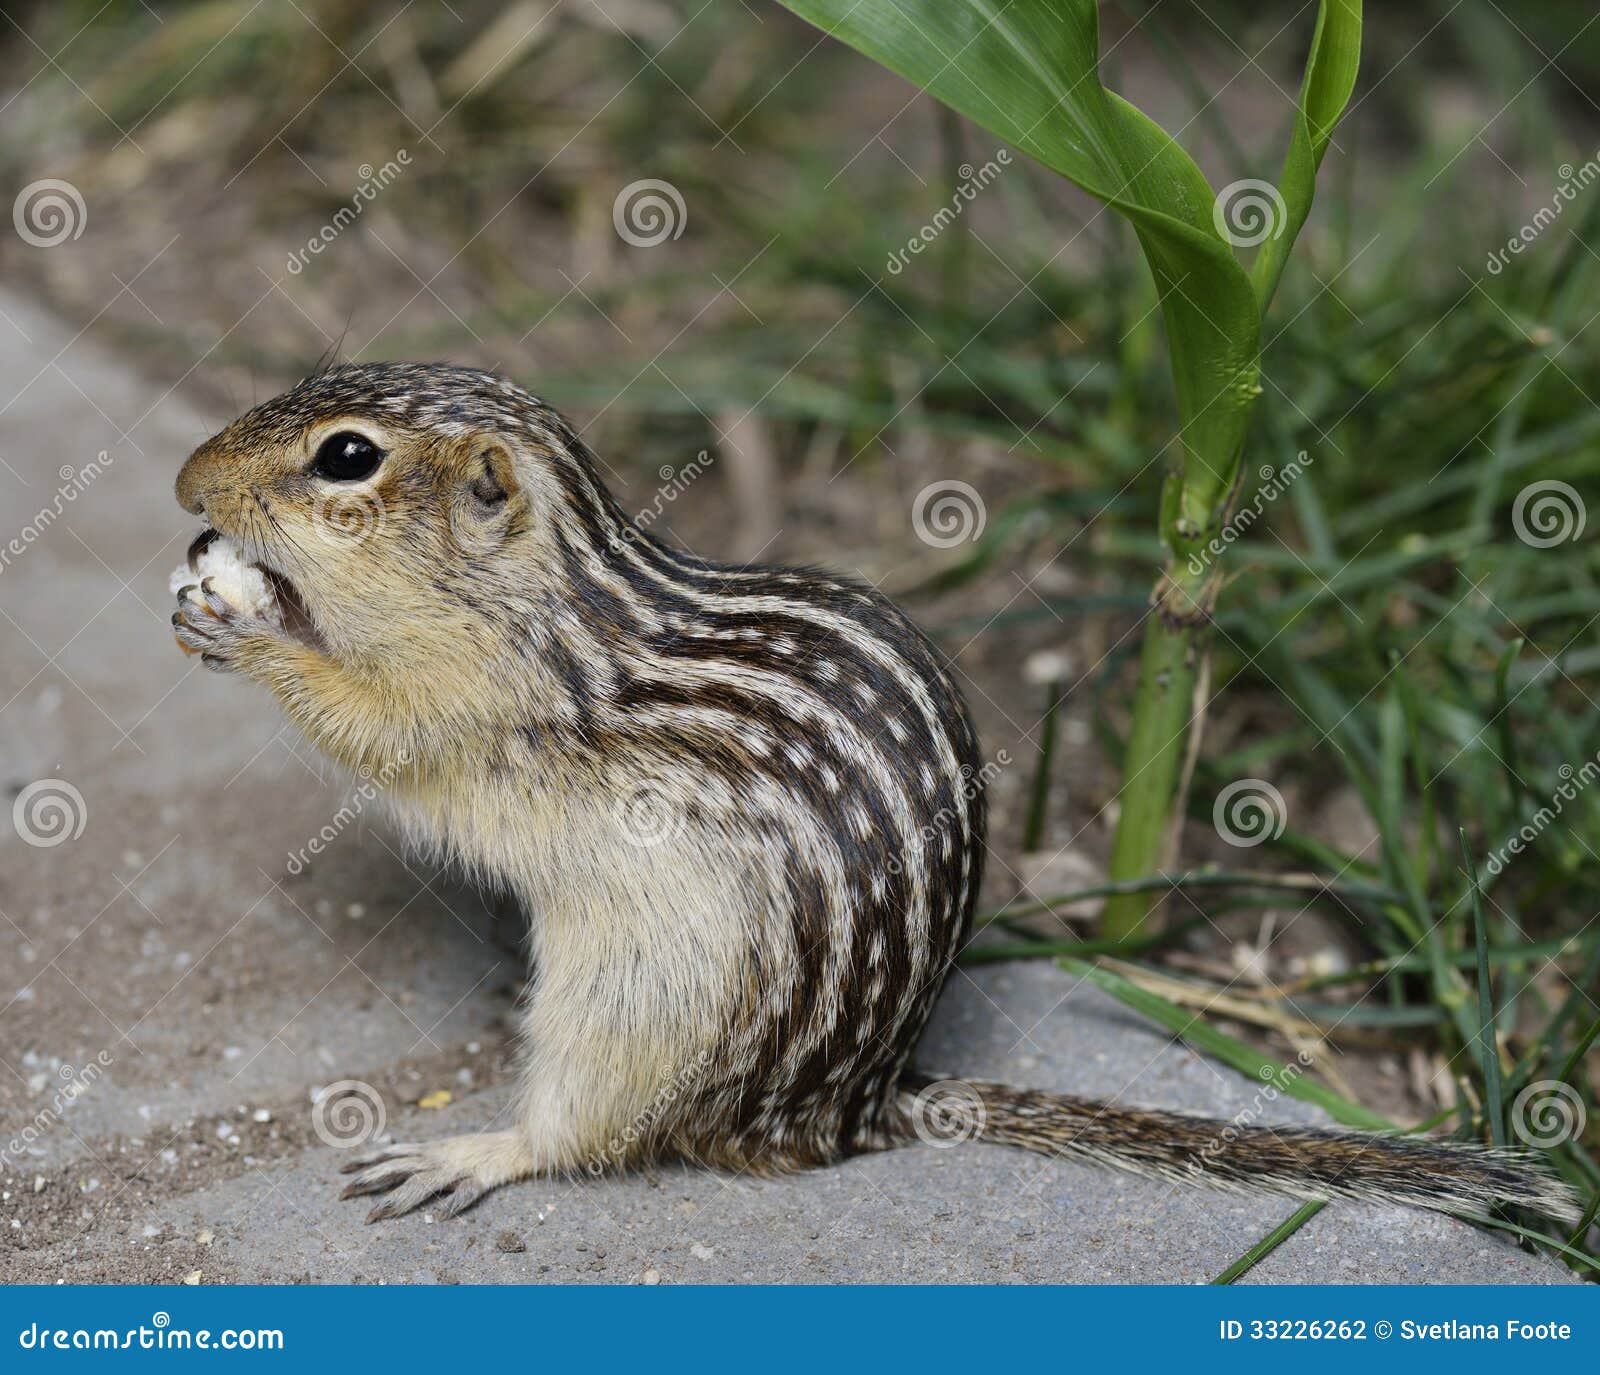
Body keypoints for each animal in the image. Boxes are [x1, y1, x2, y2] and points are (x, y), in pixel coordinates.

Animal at [172, 363, 1574, 1222]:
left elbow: (380, 735)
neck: (544, 598)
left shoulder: (479, 707)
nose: (186, 483)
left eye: (345, 457)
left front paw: (249, 630)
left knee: (589, 1129)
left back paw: (477, 1147)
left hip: (640, 1002)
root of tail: (848, 1112)